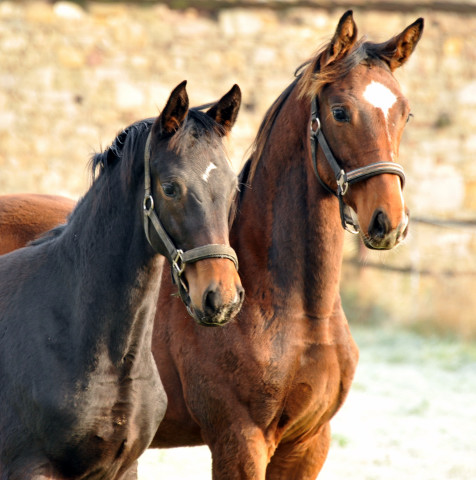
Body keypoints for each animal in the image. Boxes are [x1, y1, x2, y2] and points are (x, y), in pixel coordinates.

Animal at [150, 12, 424, 480]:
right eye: (339, 112)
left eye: (403, 114)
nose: (389, 221)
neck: (297, 311)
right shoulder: (240, 442)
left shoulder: (309, 442)